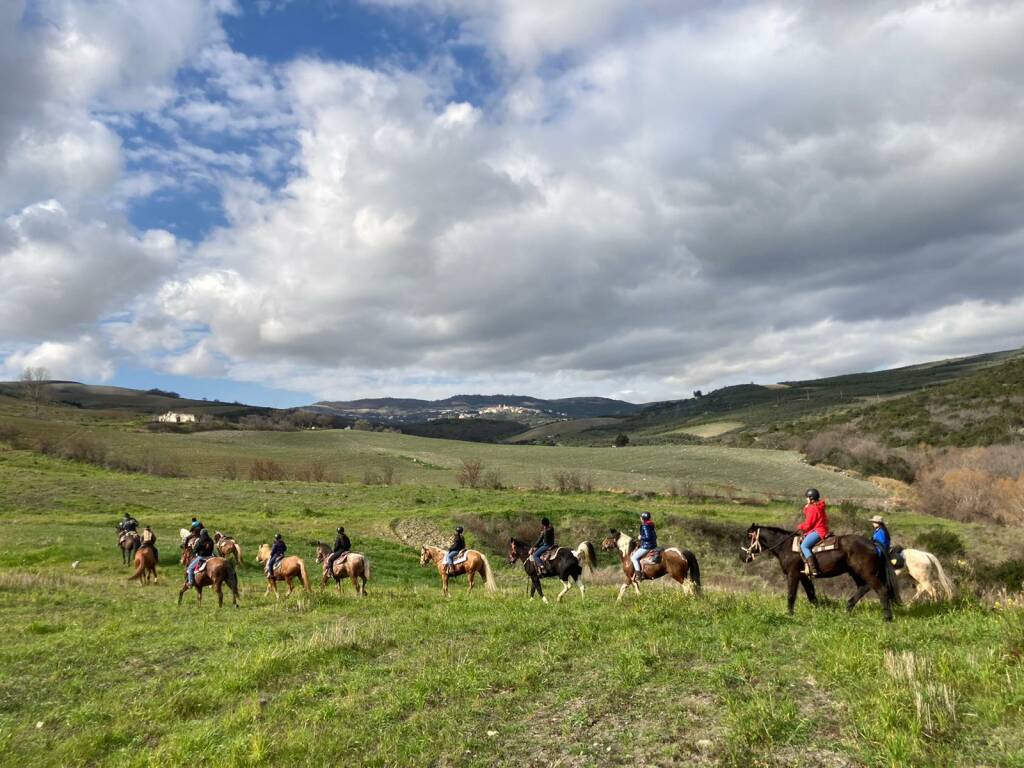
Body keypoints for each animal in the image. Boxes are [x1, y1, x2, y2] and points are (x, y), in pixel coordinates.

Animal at [741, 528, 901, 622]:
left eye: (748, 538)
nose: (742, 557)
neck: (786, 546)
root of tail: (873, 543)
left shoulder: (793, 574)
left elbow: (791, 595)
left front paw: (789, 614)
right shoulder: (804, 576)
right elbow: (811, 595)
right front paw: (818, 612)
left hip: (866, 572)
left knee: (881, 590)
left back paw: (887, 617)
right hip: (856, 573)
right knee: (864, 587)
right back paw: (847, 608)